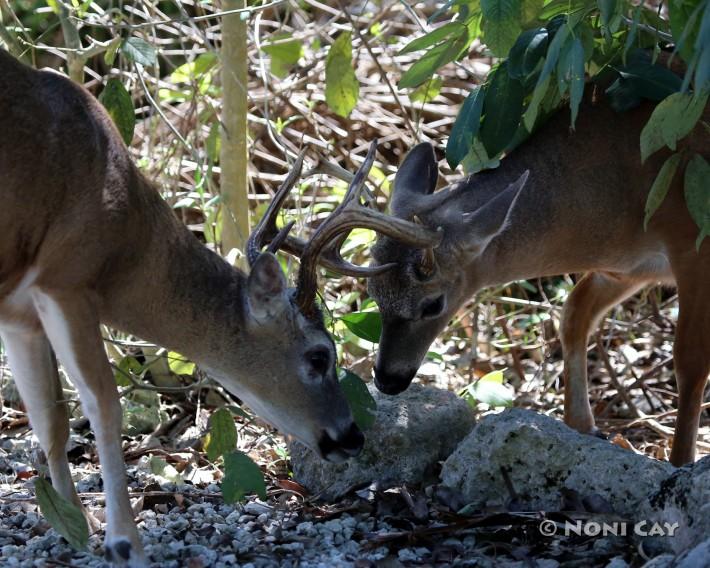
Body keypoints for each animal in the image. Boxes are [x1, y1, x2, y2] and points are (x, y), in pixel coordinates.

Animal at [0, 50, 440, 568]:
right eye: (319, 356)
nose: (352, 435)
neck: (125, 249)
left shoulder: (20, 308)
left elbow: (50, 417)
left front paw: (77, 527)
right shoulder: (66, 275)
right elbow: (104, 405)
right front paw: (124, 542)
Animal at [368, 91, 710, 468]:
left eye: (433, 304)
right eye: (374, 292)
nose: (386, 380)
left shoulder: (695, 244)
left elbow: (690, 359)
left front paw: (681, 461)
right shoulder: (631, 268)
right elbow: (574, 315)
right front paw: (583, 427)